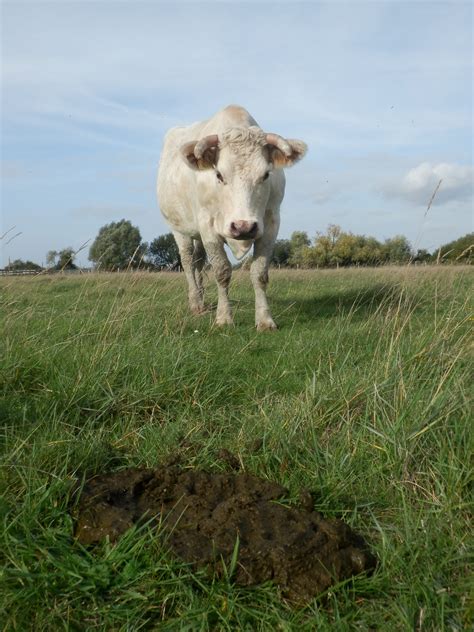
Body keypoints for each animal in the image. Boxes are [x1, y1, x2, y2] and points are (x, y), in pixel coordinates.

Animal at [156, 105, 308, 330]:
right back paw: (195, 302)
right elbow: (222, 271)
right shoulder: (207, 224)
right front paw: (223, 318)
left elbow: (259, 273)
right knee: (188, 261)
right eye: (218, 175)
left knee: (198, 261)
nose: (243, 226)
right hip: (179, 229)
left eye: (266, 174)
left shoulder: (271, 222)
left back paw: (202, 299)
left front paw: (265, 320)